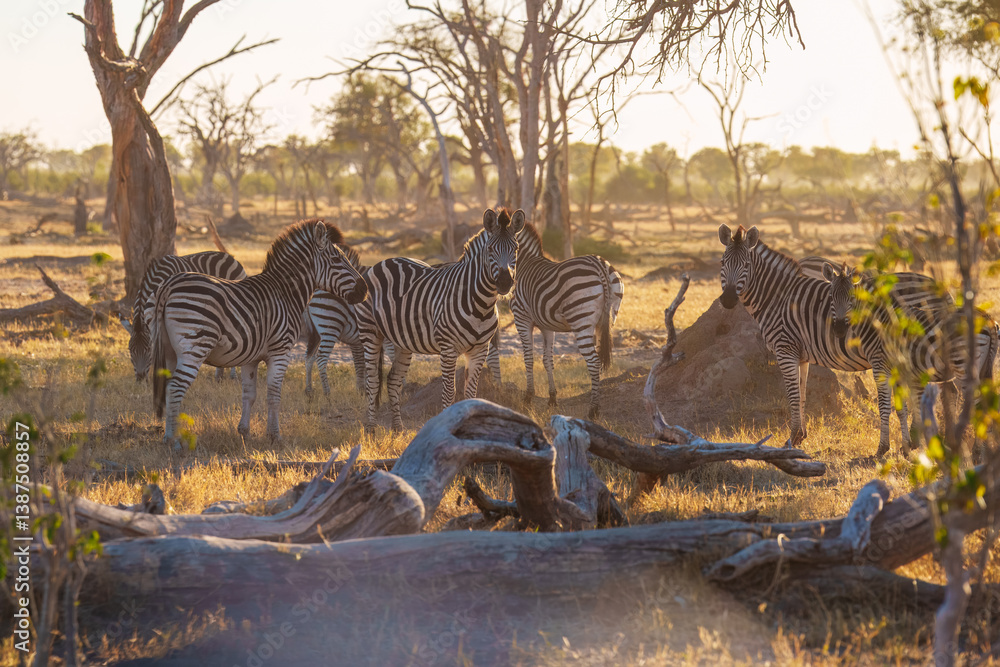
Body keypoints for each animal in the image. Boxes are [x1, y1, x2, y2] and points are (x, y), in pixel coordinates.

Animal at [152, 219, 367, 448]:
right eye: (337, 260)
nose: (365, 290)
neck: (285, 293)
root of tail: (168, 285)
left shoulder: (250, 358)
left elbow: (249, 395)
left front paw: (244, 432)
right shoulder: (281, 352)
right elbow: (273, 395)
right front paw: (274, 435)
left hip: (169, 350)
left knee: (168, 387)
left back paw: (167, 437)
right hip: (194, 347)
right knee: (175, 388)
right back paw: (174, 441)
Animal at [357, 206, 523, 431]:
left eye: (515, 249)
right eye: (490, 250)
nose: (505, 282)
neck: (481, 304)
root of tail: (381, 262)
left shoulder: (480, 350)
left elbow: (471, 394)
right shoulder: (448, 349)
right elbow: (449, 393)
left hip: (402, 341)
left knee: (392, 379)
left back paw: (398, 428)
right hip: (370, 333)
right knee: (373, 381)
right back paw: (371, 429)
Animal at [510, 221, 624, 418]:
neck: (524, 262)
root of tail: (600, 265)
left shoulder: (522, 318)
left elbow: (528, 358)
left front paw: (528, 397)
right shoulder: (546, 325)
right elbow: (547, 360)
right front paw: (552, 399)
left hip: (581, 319)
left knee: (593, 361)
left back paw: (593, 409)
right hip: (604, 319)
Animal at [719, 224, 905, 455]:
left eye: (745, 265)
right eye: (722, 263)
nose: (728, 300)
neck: (777, 298)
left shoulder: (785, 350)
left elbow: (792, 395)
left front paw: (791, 439)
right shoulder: (801, 355)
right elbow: (801, 393)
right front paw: (800, 436)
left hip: (881, 356)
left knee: (886, 401)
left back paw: (883, 448)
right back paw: (909, 446)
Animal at [825, 262, 999, 454]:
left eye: (851, 298)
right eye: (831, 296)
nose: (839, 330)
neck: (877, 320)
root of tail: (988, 318)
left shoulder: (880, 366)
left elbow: (884, 407)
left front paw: (882, 448)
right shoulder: (899, 370)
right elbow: (902, 408)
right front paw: (907, 446)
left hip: (963, 366)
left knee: (977, 404)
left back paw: (978, 451)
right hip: (983, 367)